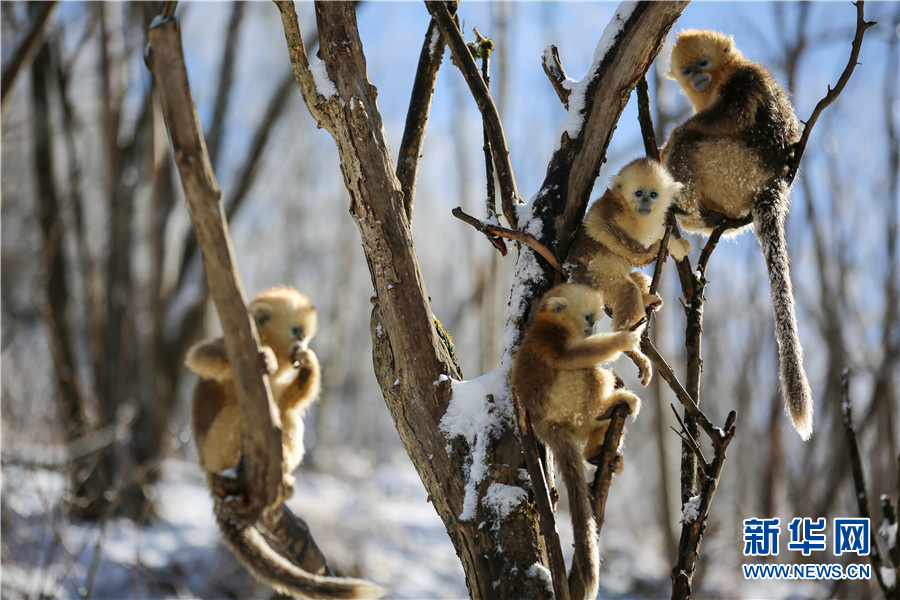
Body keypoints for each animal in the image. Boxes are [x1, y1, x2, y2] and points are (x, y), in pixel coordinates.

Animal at [660, 28, 816, 440]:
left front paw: (675, 131)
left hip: (737, 167)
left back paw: (680, 204)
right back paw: (696, 219)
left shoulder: (744, 81)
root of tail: (774, 189)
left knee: (692, 145)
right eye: (687, 69)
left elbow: (731, 114)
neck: (719, 80)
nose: (698, 76)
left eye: (704, 62)